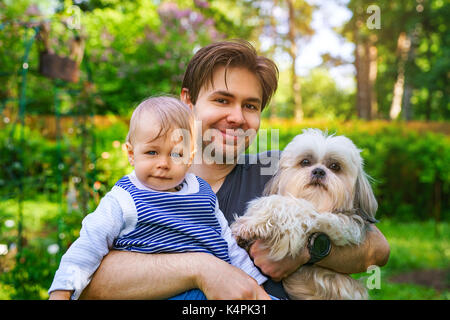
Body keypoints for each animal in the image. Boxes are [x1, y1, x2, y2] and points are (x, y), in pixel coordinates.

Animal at [230, 128, 378, 300]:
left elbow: (291, 206)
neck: (315, 200)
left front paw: (251, 223)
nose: (319, 171)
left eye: (335, 166)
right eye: (305, 162)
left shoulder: (337, 224)